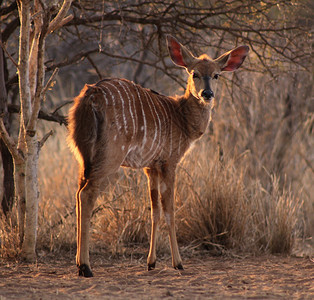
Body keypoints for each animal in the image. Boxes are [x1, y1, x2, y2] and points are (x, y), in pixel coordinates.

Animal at [67, 35, 249, 276]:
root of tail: (91, 95)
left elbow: (154, 211)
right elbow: (170, 210)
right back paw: (85, 267)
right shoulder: (169, 163)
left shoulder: (150, 167)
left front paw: (151, 262)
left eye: (216, 74)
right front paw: (178, 263)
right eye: (194, 73)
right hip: (110, 157)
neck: (181, 118)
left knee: (78, 193)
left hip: (83, 156)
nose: (207, 94)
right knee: (87, 195)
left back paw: (79, 263)